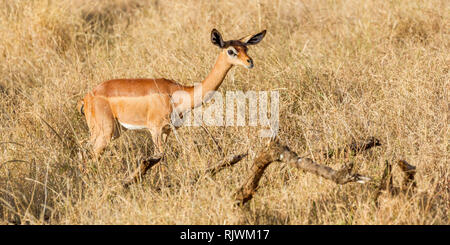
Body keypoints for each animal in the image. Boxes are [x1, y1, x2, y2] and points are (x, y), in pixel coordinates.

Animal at [77, 28, 268, 185]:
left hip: (113, 131)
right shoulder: (154, 130)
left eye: (246, 48)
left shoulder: (167, 131)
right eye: (231, 50)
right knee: (89, 155)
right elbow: (161, 160)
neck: (178, 93)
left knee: (84, 151)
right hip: (105, 132)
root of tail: (87, 97)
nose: (250, 62)